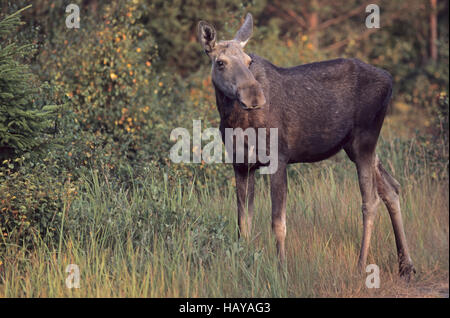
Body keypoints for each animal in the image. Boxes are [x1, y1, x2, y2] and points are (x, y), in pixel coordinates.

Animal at [199, 13, 416, 278]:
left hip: (365, 140)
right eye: (220, 62)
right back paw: (406, 264)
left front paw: (281, 270)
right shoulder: (241, 165)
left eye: (249, 61)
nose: (254, 97)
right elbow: (244, 224)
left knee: (370, 200)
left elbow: (278, 222)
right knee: (391, 188)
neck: (235, 121)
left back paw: (361, 264)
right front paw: (243, 268)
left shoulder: (278, 158)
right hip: (354, 147)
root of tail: (391, 79)